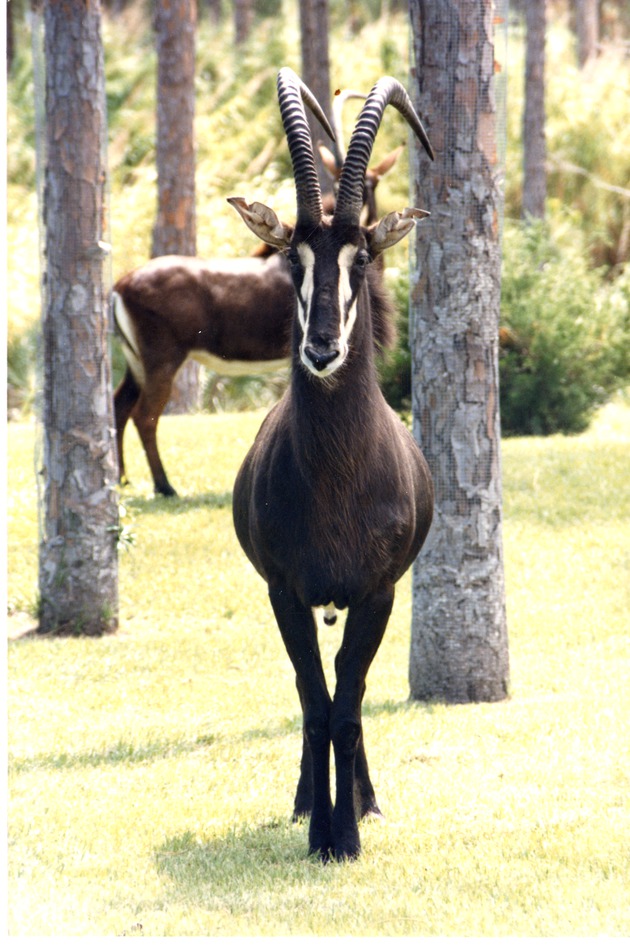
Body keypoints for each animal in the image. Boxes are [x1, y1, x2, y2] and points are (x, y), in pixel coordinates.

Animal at [231, 70, 434, 860]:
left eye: (362, 258)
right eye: (294, 258)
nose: (321, 348)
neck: (336, 478)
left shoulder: (377, 593)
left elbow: (347, 708)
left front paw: (347, 831)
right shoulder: (285, 593)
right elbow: (315, 705)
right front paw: (319, 828)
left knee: (354, 691)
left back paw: (366, 800)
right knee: (310, 695)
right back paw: (305, 800)